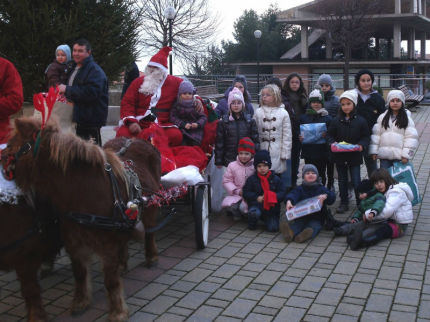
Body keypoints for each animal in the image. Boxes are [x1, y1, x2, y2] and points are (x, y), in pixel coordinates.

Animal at [2, 119, 160, 322]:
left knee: (150, 232)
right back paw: (123, 262)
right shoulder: (74, 244)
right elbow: (79, 273)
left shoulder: (106, 245)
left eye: (10, 145)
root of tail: (136, 139)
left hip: (151, 207)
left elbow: (111, 280)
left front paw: (117, 312)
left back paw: (151, 257)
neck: (84, 194)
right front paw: (81, 302)